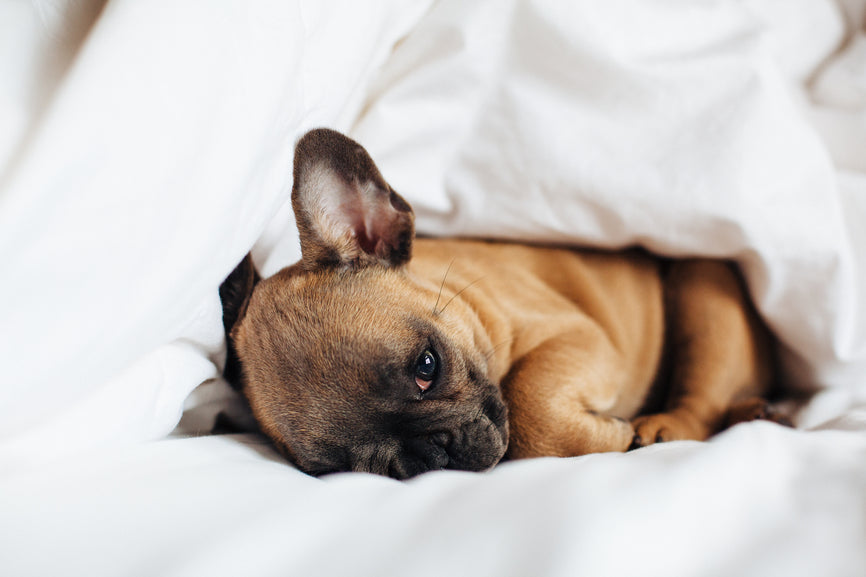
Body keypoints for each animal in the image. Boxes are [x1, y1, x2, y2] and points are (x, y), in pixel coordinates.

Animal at [218, 128, 784, 480]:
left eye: (427, 366)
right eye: (344, 469)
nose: (431, 453)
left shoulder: (576, 334)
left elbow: (531, 406)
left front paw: (610, 434)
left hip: (703, 292)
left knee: (702, 399)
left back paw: (667, 427)